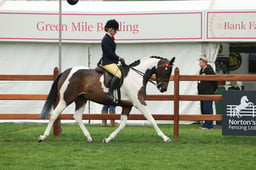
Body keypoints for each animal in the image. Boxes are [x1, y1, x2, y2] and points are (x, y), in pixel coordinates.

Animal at [39, 56, 175, 143]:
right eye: (167, 71)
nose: (163, 88)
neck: (137, 76)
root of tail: (66, 72)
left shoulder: (127, 106)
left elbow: (122, 125)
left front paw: (108, 139)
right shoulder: (139, 103)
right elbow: (152, 120)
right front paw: (165, 137)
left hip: (81, 99)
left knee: (77, 117)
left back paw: (89, 138)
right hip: (66, 99)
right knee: (54, 115)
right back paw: (43, 137)